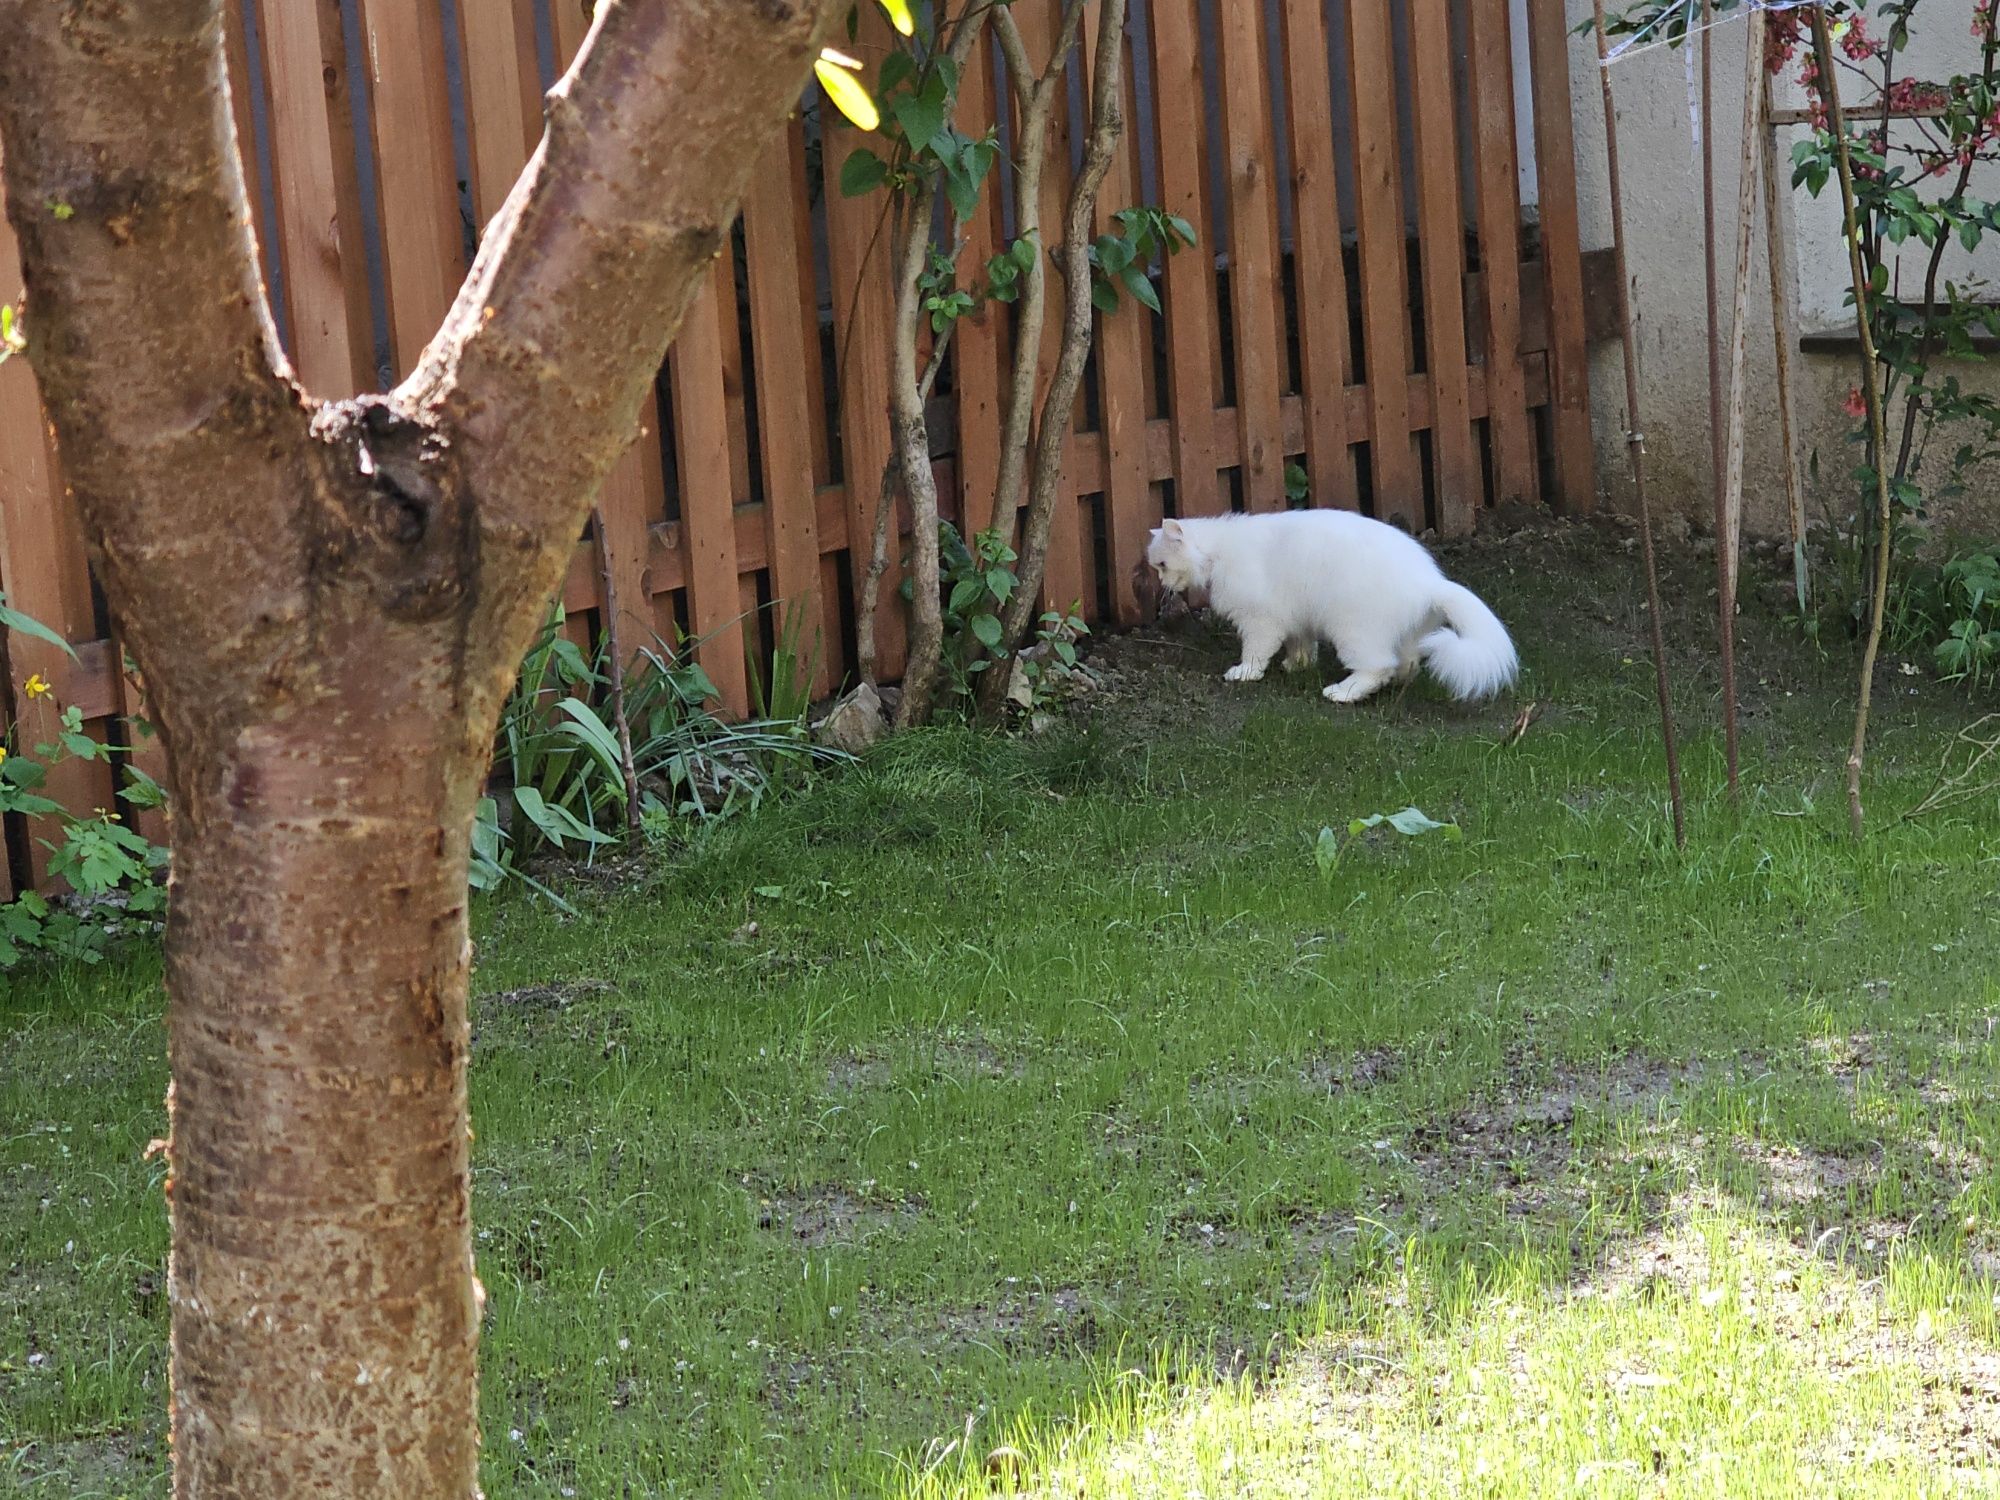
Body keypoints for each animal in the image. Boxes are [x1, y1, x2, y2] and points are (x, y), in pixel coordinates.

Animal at [1152, 516, 1520, 708]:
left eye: (1161, 565)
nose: (1160, 582)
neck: (1218, 552)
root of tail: (1429, 583)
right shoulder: (1295, 620)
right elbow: (1300, 645)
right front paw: (1297, 666)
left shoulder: (1260, 620)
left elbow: (1255, 653)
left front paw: (1245, 673)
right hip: (1403, 636)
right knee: (1406, 664)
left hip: (1354, 632)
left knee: (1377, 668)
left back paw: (1342, 693)